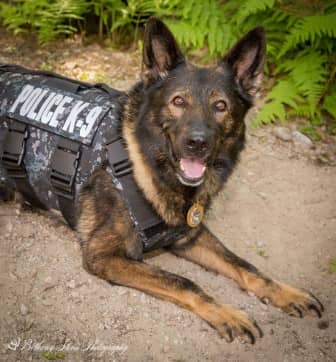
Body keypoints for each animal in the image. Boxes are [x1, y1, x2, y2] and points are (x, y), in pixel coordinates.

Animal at [1, 19, 324, 342]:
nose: (197, 143)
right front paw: (228, 313)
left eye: (220, 106)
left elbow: (245, 264)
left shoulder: (189, 236)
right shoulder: (104, 256)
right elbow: (184, 282)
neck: (144, 163)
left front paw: (287, 293)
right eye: (178, 101)